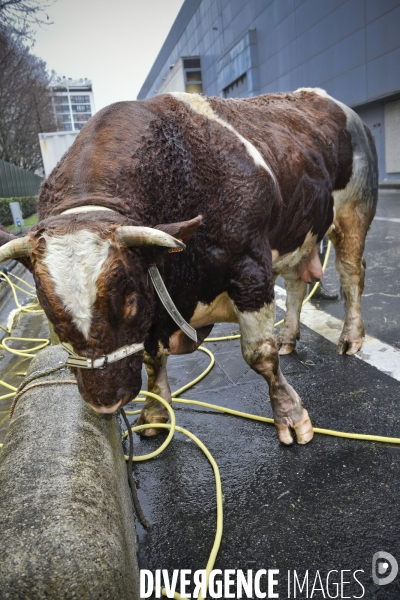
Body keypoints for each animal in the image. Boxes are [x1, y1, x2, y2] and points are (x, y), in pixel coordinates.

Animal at [0, 89, 376, 446]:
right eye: (49, 311)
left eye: (129, 301)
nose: (106, 402)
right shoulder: (157, 303)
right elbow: (152, 360)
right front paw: (154, 413)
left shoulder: (250, 269)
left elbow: (259, 355)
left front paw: (290, 416)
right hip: (299, 234)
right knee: (298, 283)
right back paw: (288, 336)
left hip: (354, 212)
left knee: (351, 275)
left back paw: (351, 336)